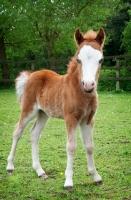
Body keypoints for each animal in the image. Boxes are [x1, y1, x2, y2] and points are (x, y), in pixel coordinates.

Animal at [6, 27, 106, 189]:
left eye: (101, 59)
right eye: (78, 60)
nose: (89, 85)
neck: (80, 91)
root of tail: (31, 74)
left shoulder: (88, 120)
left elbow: (90, 146)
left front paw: (96, 177)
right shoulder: (71, 118)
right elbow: (71, 147)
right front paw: (68, 182)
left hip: (43, 113)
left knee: (34, 134)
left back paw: (40, 171)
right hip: (29, 109)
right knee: (18, 131)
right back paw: (10, 167)